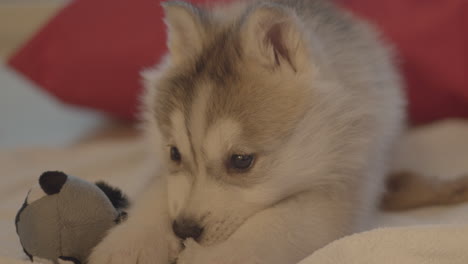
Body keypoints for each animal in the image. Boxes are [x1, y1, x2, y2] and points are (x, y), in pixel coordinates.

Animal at [89, 0, 404, 264]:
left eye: (241, 161)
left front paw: (213, 257)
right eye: (175, 153)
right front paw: (130, 242)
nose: (183, 229)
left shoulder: (343, 185)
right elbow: (157, 191)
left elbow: (281, 222)